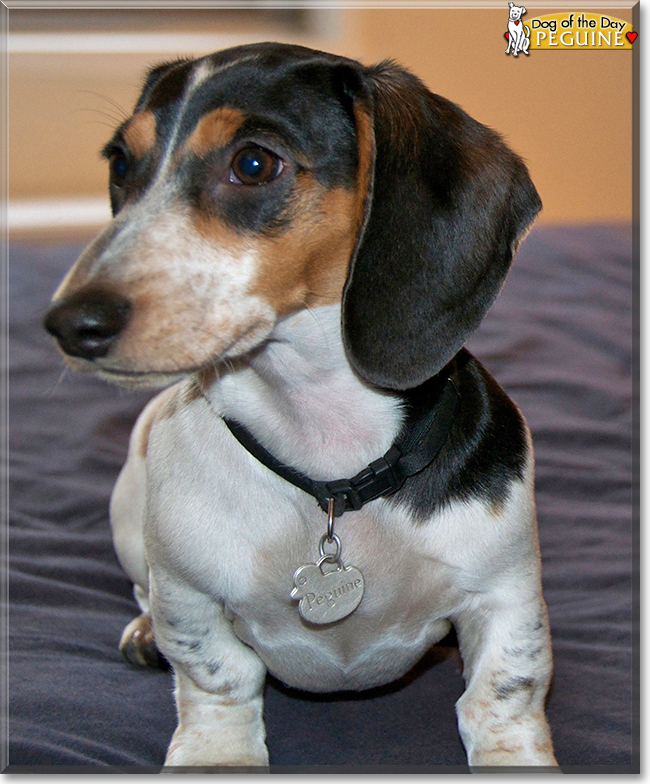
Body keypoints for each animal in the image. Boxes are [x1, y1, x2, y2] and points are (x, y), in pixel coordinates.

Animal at [43, 41, 556, 764]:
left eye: (254, 163)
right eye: (120, 162)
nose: (69, 324)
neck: (328, 459)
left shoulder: (506, 594)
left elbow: (504, 693)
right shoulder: (191, 598)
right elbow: (216, 675)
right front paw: (218, 757)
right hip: (128, 512)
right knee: (146, 589)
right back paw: (144, 630)